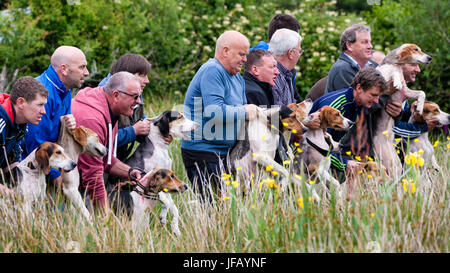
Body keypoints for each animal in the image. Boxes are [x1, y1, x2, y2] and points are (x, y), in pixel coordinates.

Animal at [372, 43, 432, 176]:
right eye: (416, 50)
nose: (430, 58)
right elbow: (393, 70)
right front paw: (397, 81)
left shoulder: (406, 91)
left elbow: (422, 93)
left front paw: (419, 107)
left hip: (396, 164)